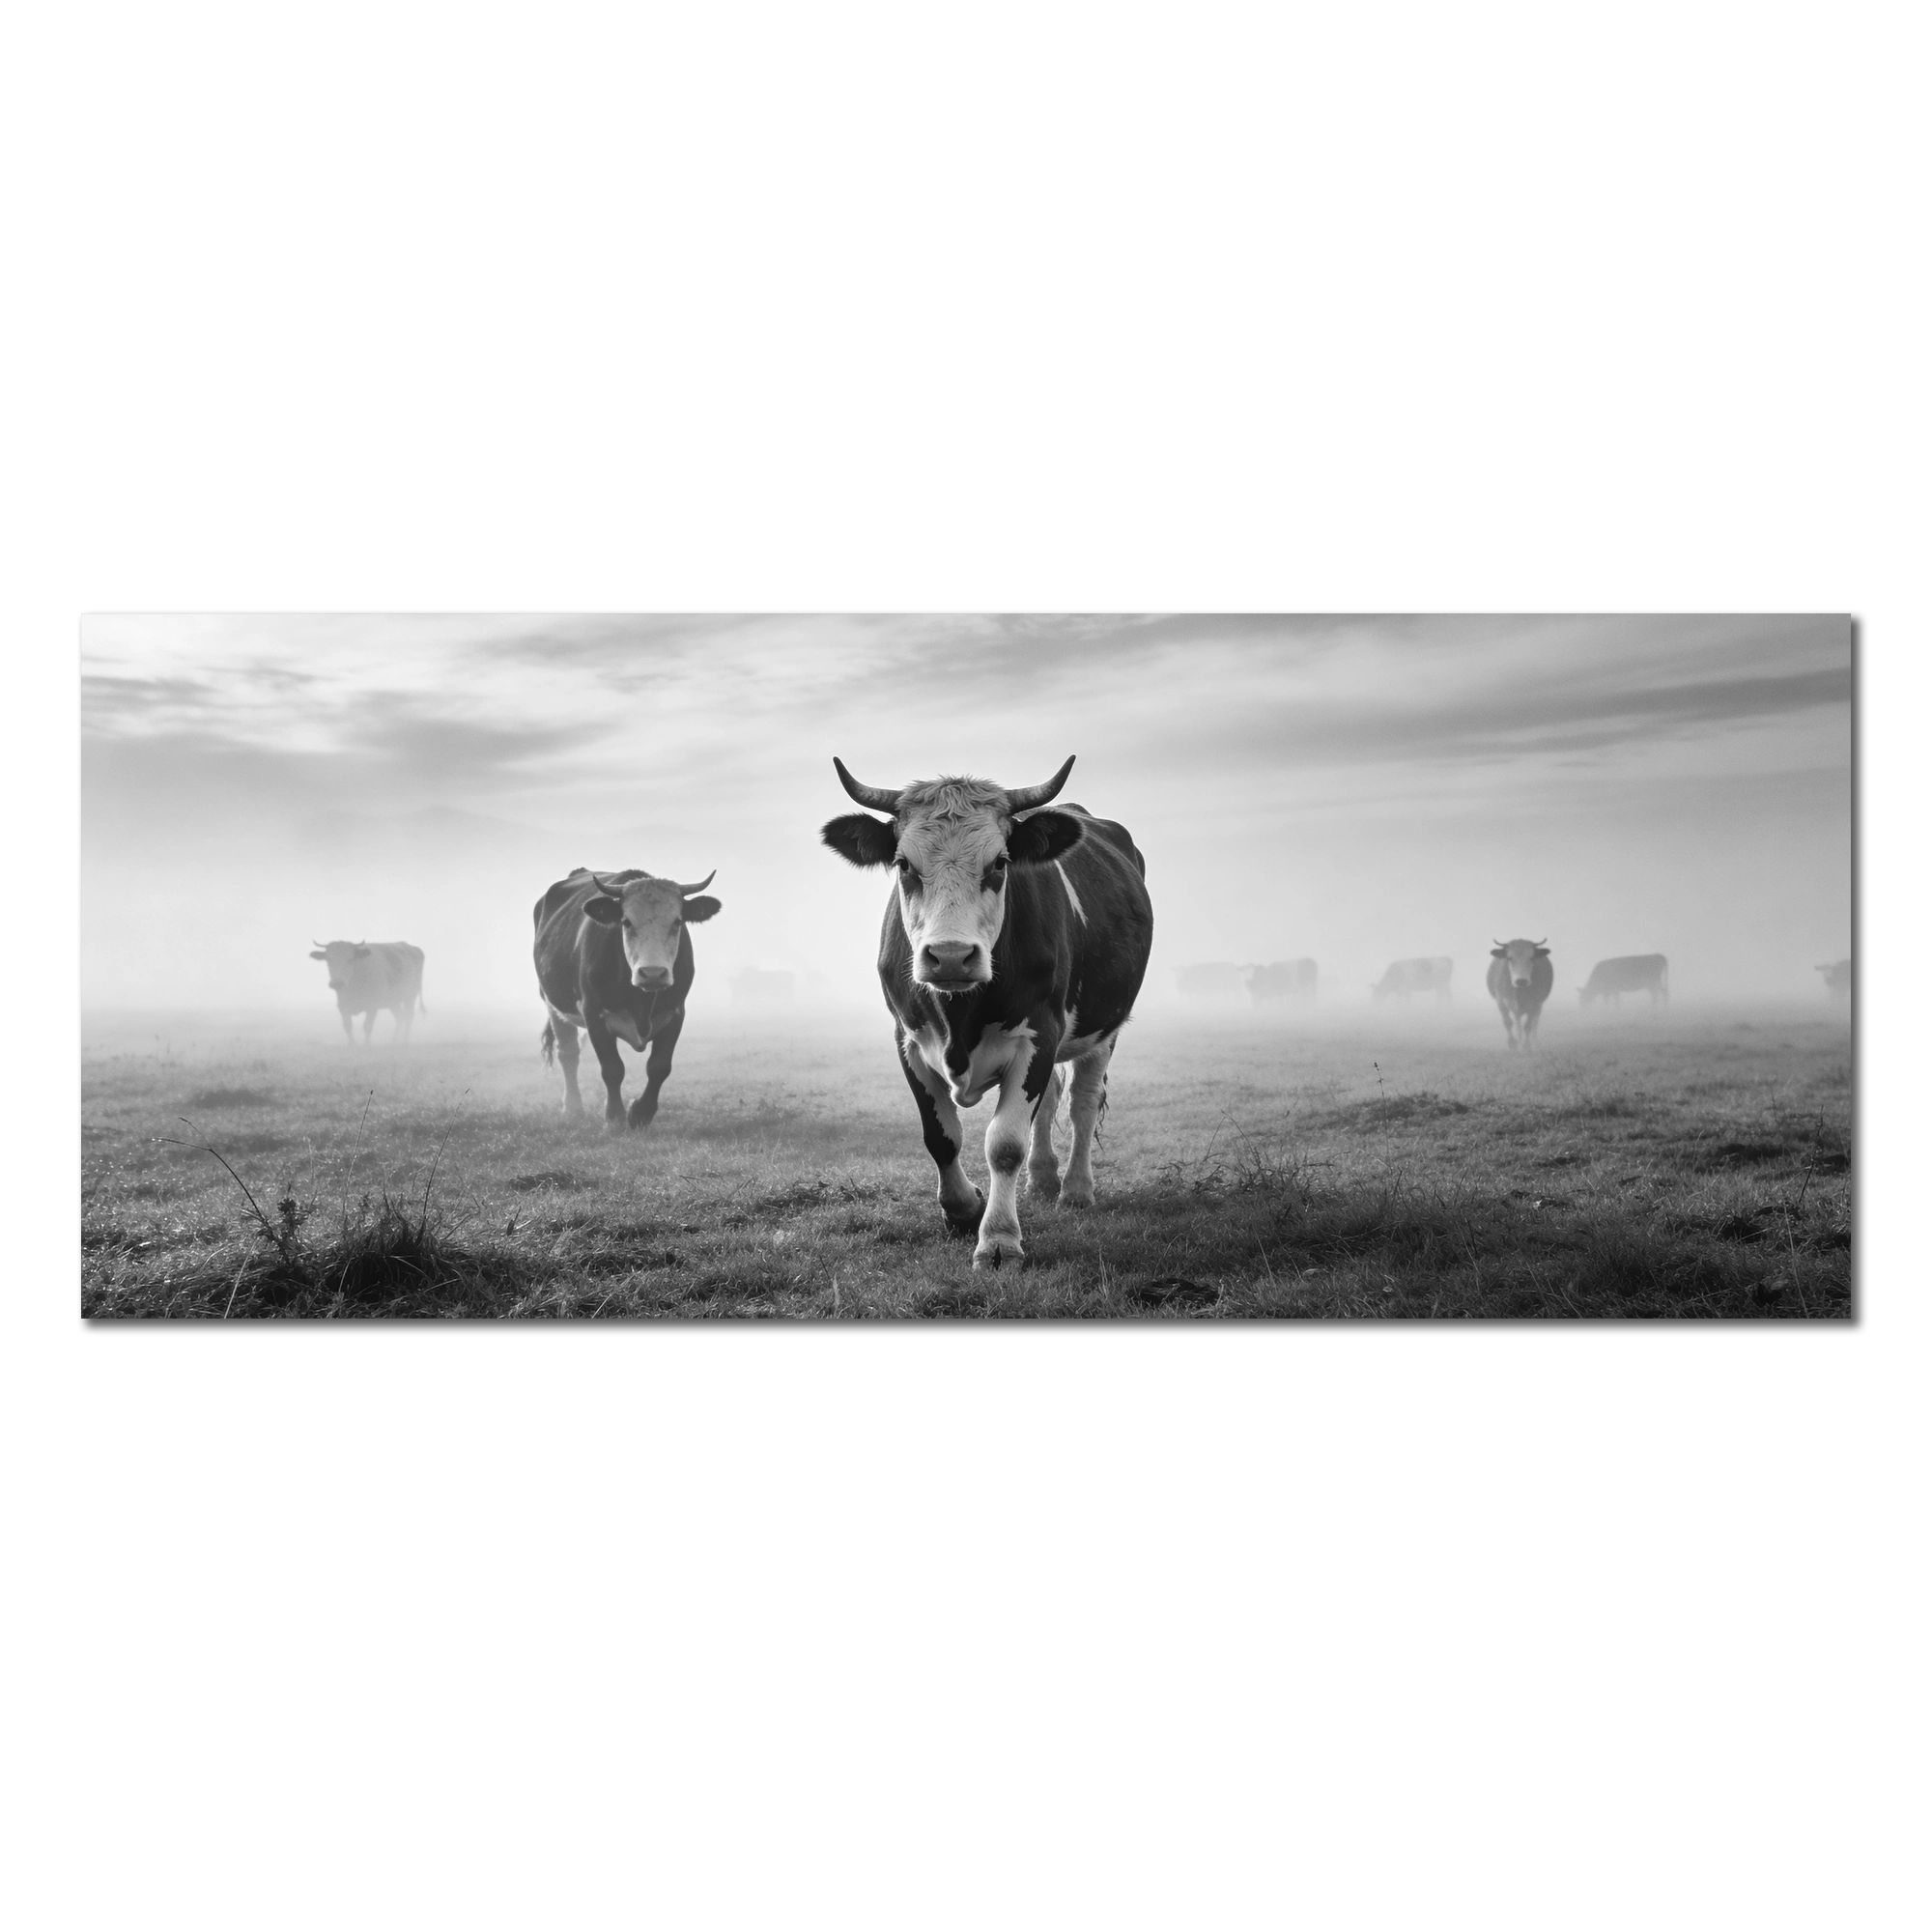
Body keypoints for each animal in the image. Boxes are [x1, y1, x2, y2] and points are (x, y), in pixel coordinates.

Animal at [532, 867, 722, 1132]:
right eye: (626, 922)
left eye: (677, 921)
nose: (653, 973)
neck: (641, 1000)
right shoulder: (594, 1014)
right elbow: (612, 1068)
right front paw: (614, 1117)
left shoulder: (675, 1013)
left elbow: (659, 1067)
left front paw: (640, 1113)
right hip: (553, 1004)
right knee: (568, 1054)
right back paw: (572, 1108)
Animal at [821, 755, 1153, 1271]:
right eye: (903, 863)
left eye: (1000, 862)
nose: (951, 956)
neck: (960, 1016)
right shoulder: (908, 1040)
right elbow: (941, 1137)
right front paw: (962, 1210)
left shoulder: (1039, 1034)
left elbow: (1005, 1145)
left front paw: (998, 1239)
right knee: (1051, 1100)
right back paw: (1043, 1179)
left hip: (1105, 1026)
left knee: (1081, 1101)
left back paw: (1075, 1189)